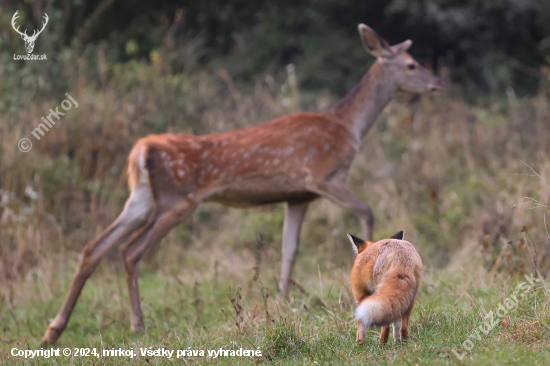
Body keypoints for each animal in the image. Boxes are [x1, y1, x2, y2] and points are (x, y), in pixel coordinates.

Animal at [41, 24, 442, 344]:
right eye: (411, 64)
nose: (437, 82)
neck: (348, 127)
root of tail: (142, 148)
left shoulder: (298, 196)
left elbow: (289, 247)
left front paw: (281, 298)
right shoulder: (321, 175)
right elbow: (367, 210)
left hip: (140, 198)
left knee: (94, 247)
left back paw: (54, 330)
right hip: (177, 199)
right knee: (130, 250)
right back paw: (137, 324)